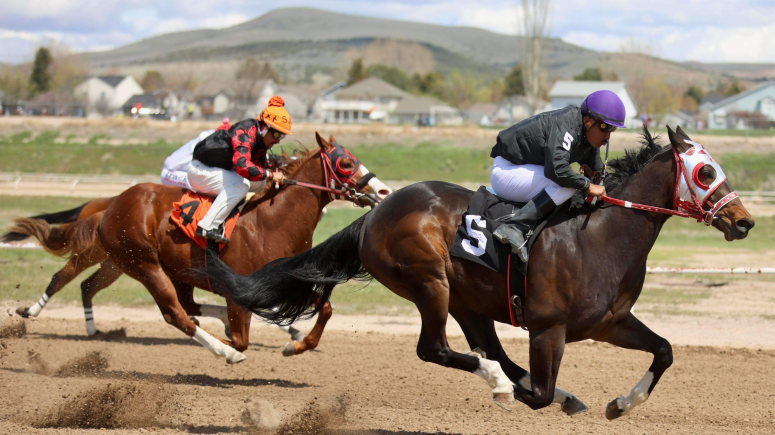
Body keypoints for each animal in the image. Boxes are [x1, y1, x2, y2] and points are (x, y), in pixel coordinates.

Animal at [94, 133, 390, 363]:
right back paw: (225, 350)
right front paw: (233, 344)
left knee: (188, 305)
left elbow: (325, 308)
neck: (271, 222)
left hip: (178, 271)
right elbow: (241, 339)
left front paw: (295, 345)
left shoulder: (284, 282)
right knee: (176, 314)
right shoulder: (240, 289)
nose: (384, 191)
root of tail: (112, 206)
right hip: (145, 265)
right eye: (346, 163)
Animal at [201, 126, 754, 417]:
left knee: (486, 350)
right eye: (705, 171)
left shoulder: (609, 323)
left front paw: (621, 403)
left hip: (471, 302)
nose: (745, 221)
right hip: (431, 283)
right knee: (439, 350)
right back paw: (498, 381)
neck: (599, 235)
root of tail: (376, 212)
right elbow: (539, 394)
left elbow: (664, 350)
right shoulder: (548, 328)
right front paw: (532, 392)